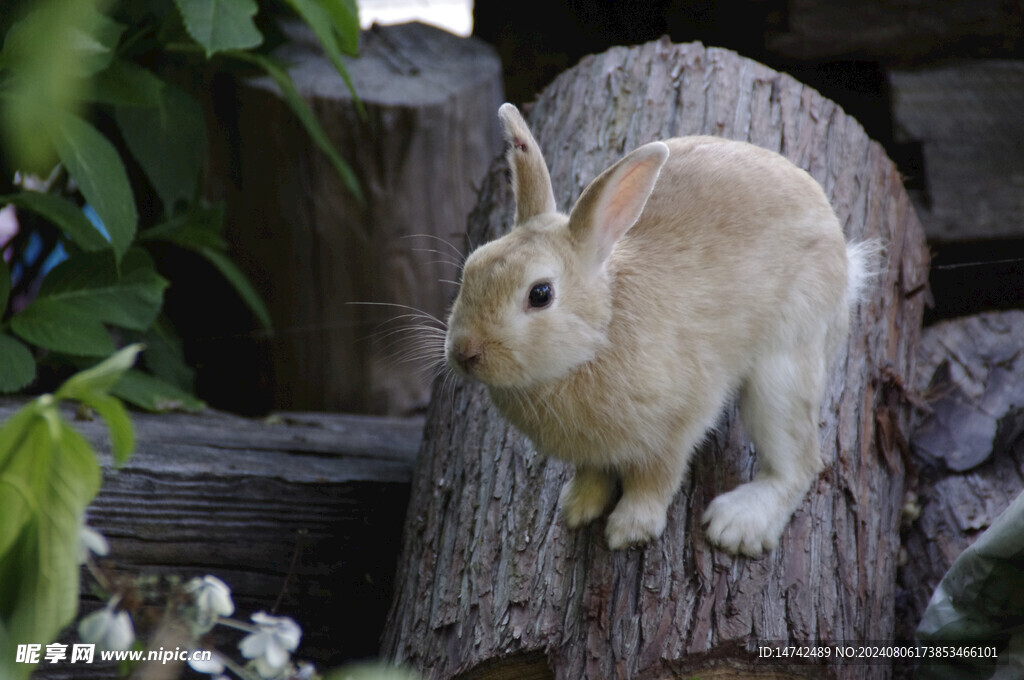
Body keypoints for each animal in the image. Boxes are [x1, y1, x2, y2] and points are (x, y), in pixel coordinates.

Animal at [444, 102, 876, 557]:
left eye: (540, 294)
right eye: (472, 266)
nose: (464, 352)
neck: (600, 333)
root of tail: (845, 265)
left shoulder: (675, 429)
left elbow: (654, 481)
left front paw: (628, 530)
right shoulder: (592, 453)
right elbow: (593, 474)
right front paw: (578, 508)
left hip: (784, 370)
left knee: (798, 462)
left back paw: (738, 524)